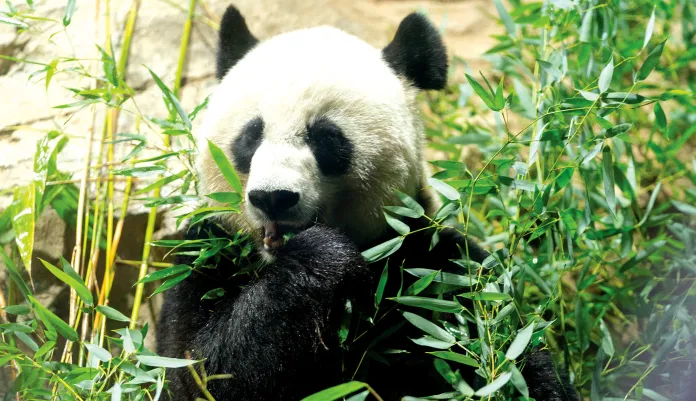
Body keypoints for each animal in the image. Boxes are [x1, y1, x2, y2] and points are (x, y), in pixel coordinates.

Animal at [156, 4, 579, 401]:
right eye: (251, 135)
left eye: (325, 138)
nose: (274, 197)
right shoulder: (205, 251)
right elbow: (204, 368)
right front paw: (322, 255)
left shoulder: (434, 266)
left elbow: (508, 353)